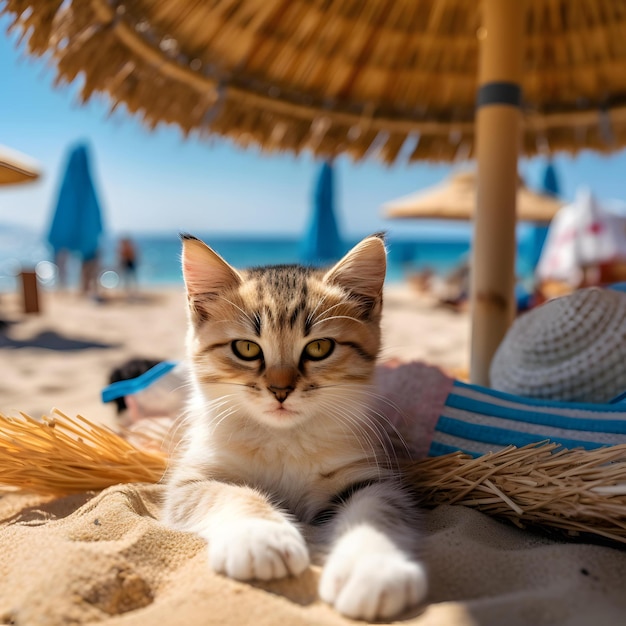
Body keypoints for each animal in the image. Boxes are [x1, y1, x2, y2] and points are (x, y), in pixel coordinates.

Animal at [161, 234, 426, 620]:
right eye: (246, 348)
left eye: (319, 347)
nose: (280, 390)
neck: (284, 438)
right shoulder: (191, 481)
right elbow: (232, 493)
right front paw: (261, 537)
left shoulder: (369, 478)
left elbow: (375, 513)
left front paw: (374, 570)